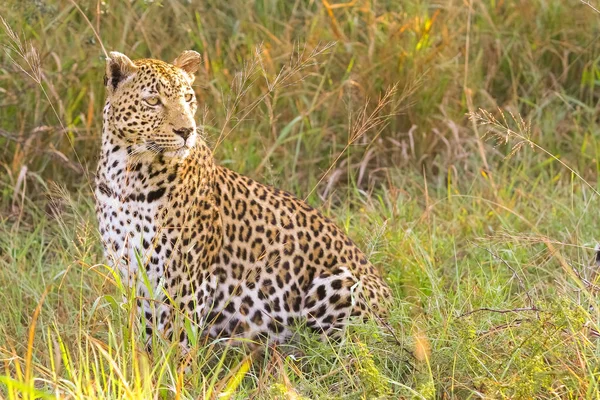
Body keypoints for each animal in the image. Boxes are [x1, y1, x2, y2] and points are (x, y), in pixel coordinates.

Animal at [95, 50, 392, 350]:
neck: (128, 176)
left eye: (188, 98)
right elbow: (141, 335)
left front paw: (170, 363)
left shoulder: (187, 279)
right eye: (153, 101)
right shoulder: (130, 274)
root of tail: (392, 306)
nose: (187, 131)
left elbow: (176, 340)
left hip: (339, 283)